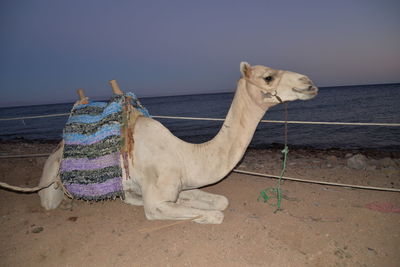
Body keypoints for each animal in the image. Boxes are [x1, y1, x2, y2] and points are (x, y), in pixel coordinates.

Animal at [38, 62, 318, 224]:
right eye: (268, 77)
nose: (308, 82)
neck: (185, 155)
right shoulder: (156, 201)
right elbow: (215, 214)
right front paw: (198, 214)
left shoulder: (182, 183)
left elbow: (220, 201)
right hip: (50, 186)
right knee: (50, 201)